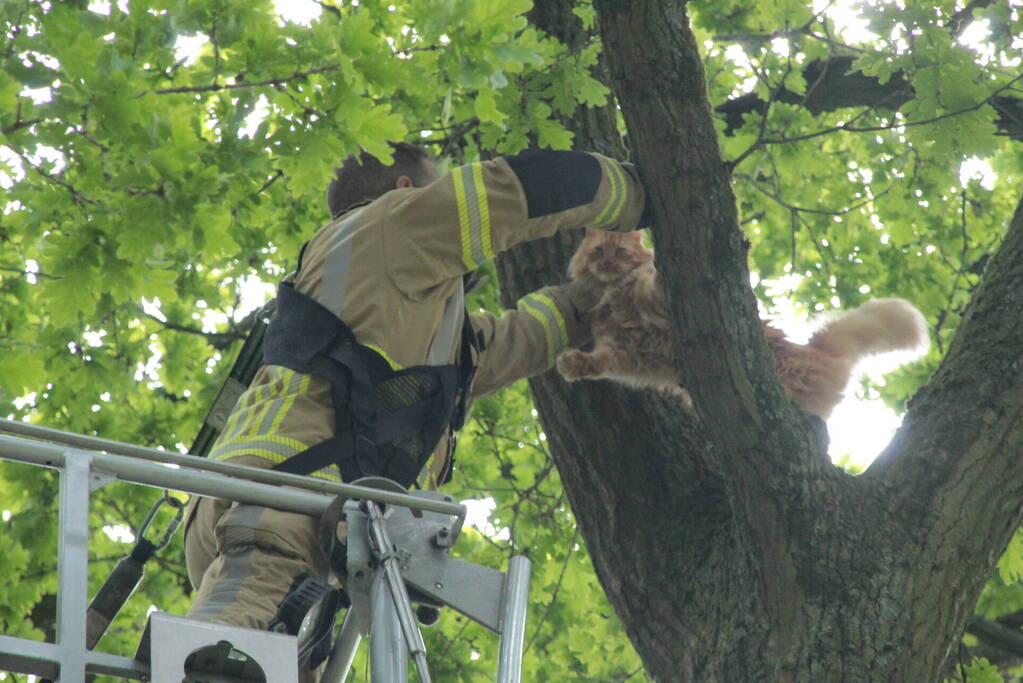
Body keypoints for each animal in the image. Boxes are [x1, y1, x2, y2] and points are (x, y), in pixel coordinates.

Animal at [556, 229, 932, 419]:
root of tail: (818, 349)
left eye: (619, 252)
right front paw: (571, 364)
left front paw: (657, 270)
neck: (612, 294)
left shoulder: (656, 307)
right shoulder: (621, 351)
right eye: (598, 251)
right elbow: (597, 362)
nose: (607, 262)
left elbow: (652, 286)